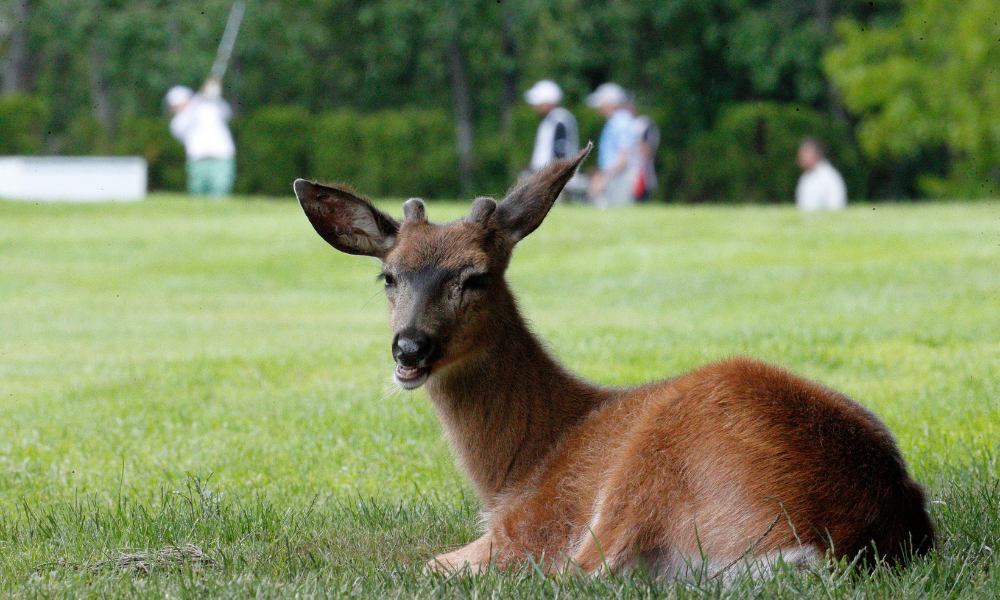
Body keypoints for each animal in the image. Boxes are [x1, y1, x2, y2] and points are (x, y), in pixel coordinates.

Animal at [292, 143, 935, 579]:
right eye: (388, 276)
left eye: (475, 278)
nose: (410, 348)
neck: (519, 467)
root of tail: (847, 537)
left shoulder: (528, 528)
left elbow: (432, 564)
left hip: (648, 472)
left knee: (583, 573)